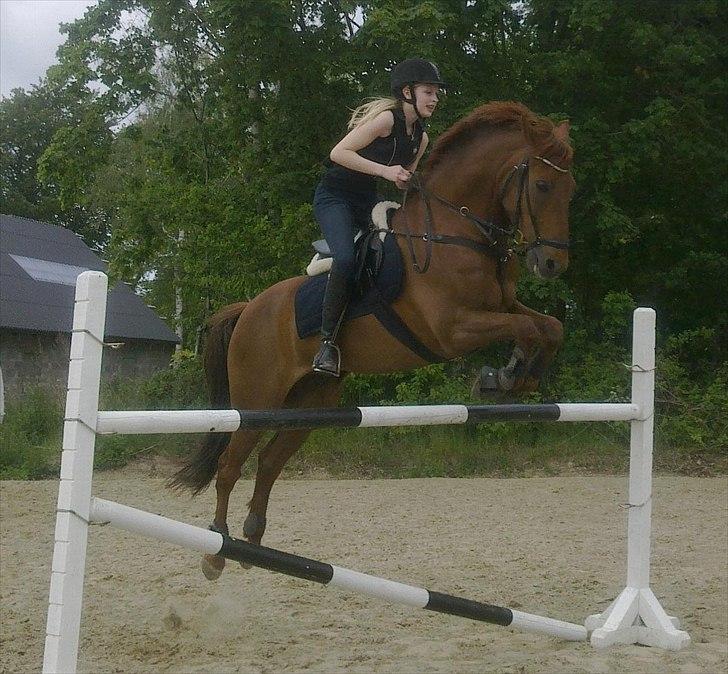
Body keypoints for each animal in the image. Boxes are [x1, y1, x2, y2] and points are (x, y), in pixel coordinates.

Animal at [169, 101, 575, 580]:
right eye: (543, 185)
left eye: (571, 190)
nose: (552, 264)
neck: (452, 231)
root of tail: (250, 308)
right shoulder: (452, 329)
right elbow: (528, 329)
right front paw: (503, 376)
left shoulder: (503, 305)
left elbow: (549, 327)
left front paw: (516, 377)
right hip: (256, 400)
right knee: (230, 466)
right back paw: (217, 551)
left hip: (311, 403)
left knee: (269, 462)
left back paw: (252, 538)